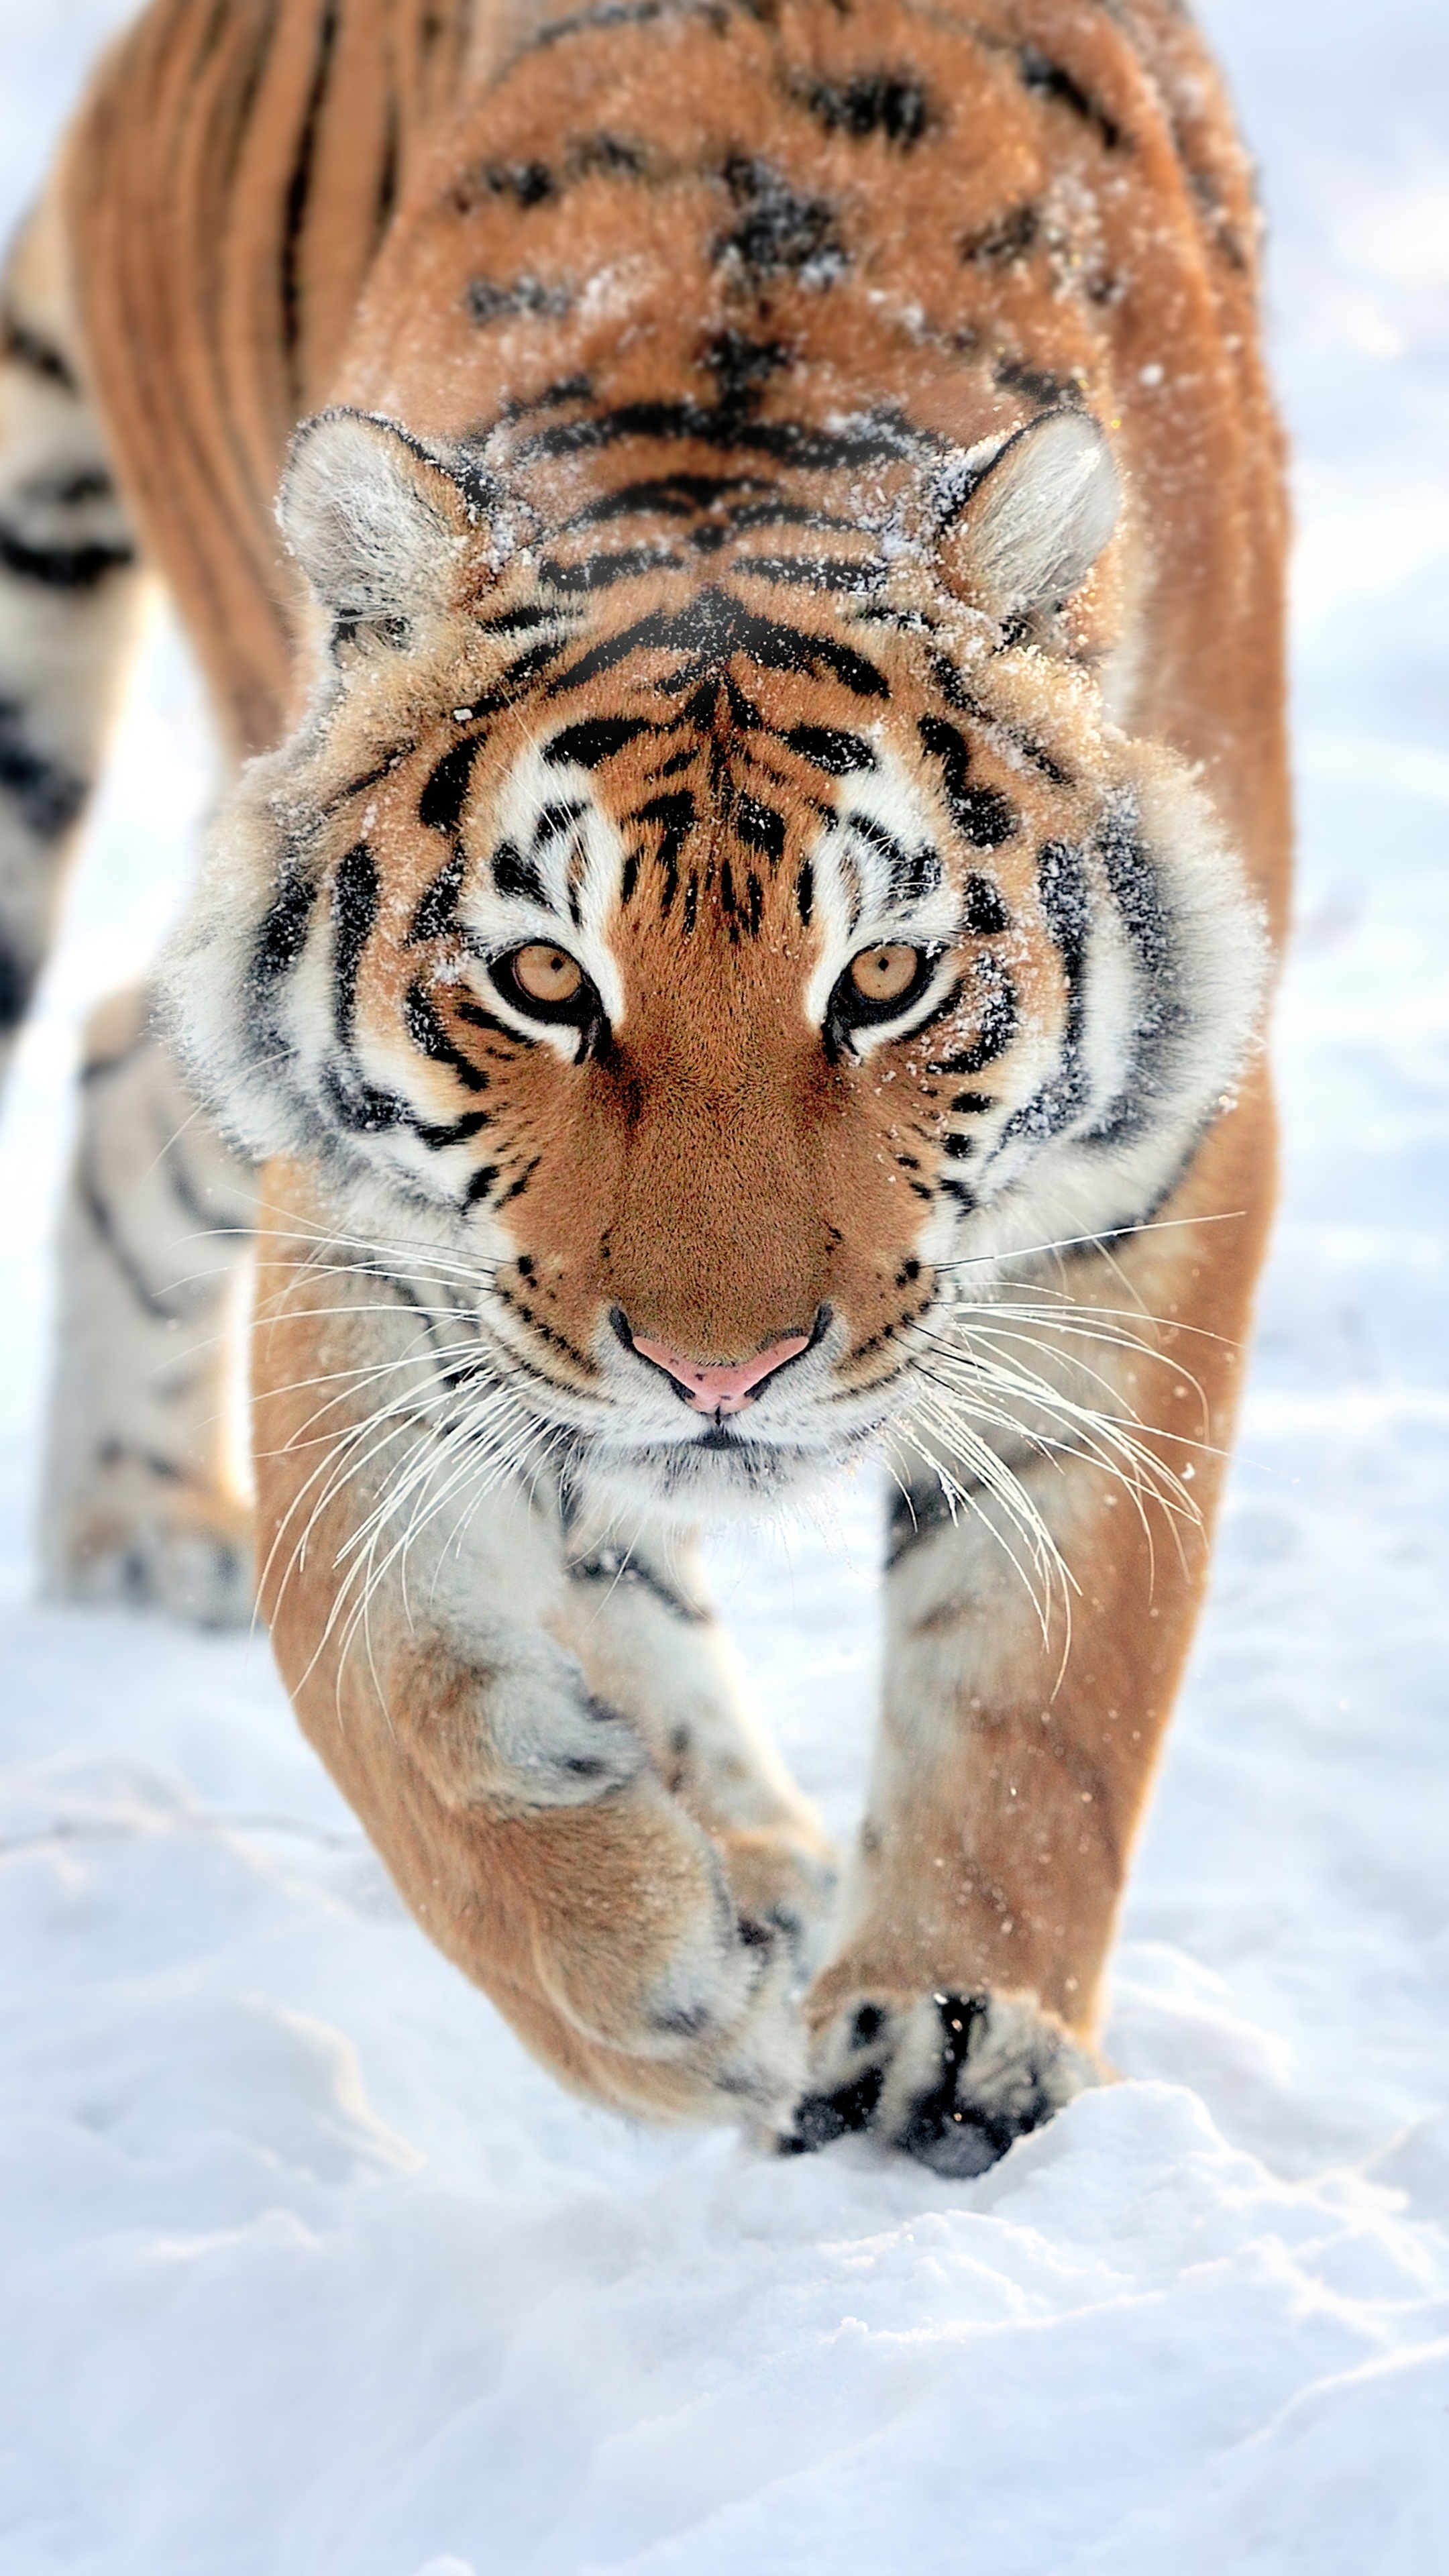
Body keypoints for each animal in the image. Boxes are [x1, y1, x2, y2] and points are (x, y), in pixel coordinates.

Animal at [0, 0, 1288, 2170]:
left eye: (881, 977)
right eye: (544, 977)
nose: (719, 1370)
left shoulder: (1161, 1169)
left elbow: (1045, 1669)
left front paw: (949, 2023)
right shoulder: (377, 1232)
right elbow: (386, 1674)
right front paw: (658, 1991)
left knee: (112, 1057)